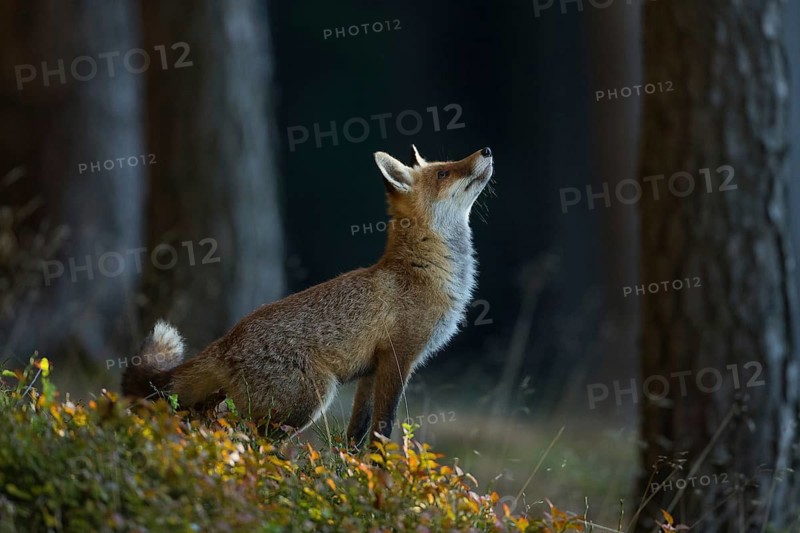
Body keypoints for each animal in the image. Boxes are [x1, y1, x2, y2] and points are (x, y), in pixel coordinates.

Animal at [122, 145, 494, 447]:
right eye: (444, 172)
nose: (487, 150)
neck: (422, 271)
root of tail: (226, 341)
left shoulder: (372, 368)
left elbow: (357, 432)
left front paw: (353, 472)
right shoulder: (399, 357)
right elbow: (382, 429)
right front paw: (380, 475)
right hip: (310, 399)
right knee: (251, 440)